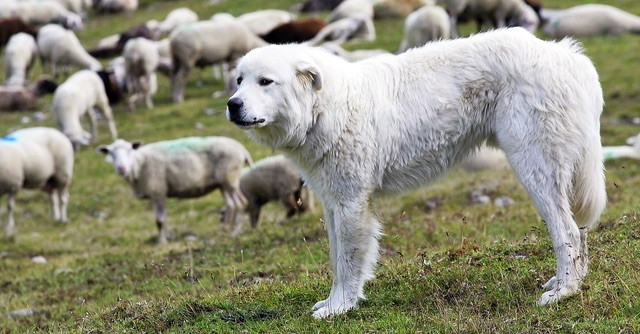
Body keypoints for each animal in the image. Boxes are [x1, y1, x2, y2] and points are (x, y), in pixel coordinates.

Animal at [97, 136, 252, 243]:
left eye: (130, 150)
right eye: (111, 154)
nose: (121, 169)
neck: (139, 163)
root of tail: (241, 148)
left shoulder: (158, 190)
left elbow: (159, 220)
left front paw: (162, 242)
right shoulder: (155, 194)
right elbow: (163, 218)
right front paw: (165, 237)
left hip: (229, 178)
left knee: (239, 203)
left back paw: (235, 231)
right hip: (224, 184)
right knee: (232, 204)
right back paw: (226, 228)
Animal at [225, 28, 604, 318]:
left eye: (266, 82)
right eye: (239, 81)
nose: (232, 104)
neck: (325, 108)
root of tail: (566, 54)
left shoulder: (351, 203)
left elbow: (347, 262)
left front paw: (340, 308)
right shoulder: (334, 202)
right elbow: (336, 259)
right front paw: (333, 303)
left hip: (534, 166)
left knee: (567, 231)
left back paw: (564, 292)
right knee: (579, 230)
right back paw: (569, 282)